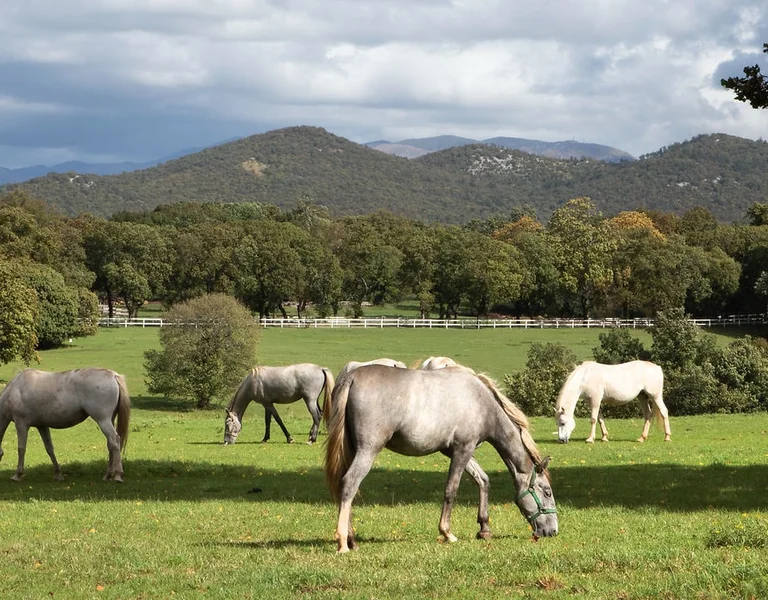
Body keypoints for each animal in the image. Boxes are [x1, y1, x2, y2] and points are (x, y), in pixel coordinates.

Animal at [0, 368, 131, 482]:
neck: (14, 389)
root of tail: (113, 375)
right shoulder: (42, 426)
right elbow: (49, 449)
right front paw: (58, 474)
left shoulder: (21, 424)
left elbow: (21, 448)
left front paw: (17, 474)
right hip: (110, 419)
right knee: (110, 444)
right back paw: (107, 475)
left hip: (103, 420)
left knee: (114, 440)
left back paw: (117, 475)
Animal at [324, 364, 557, 552]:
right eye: (547, 492)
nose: (553, 531)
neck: (481, 402)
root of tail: (352, 377)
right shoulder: (463, 449)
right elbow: (451, 490)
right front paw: (447, 533)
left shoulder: (455, 450)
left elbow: (483, 480)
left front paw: (484, 529)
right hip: (368, 450)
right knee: (350, 484)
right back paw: (343, 542)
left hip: (353, 450)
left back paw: (352, 540)